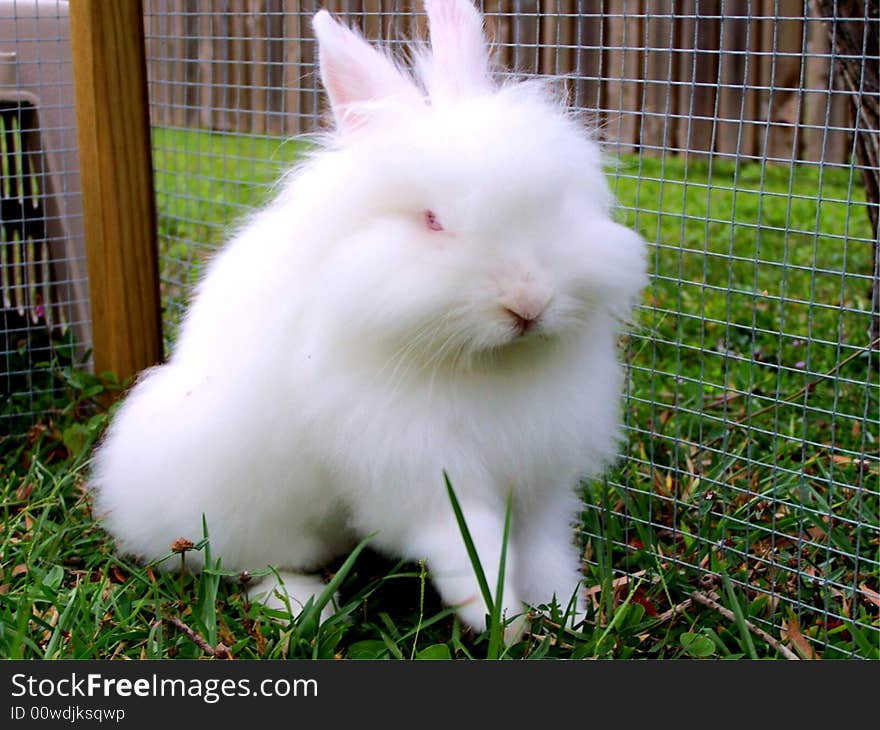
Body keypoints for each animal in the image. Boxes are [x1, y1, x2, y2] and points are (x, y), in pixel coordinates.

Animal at [89, 0, 648, 636]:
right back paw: (302, 603)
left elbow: (545, 546)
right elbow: (469, 545)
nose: (527, 303)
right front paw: (498, 619)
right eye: (431, 220)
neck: (489, 366)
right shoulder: (418, 473)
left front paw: (570, 612)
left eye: (555, 203)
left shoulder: (539, 476)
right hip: (243, 506)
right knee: (245, 565)